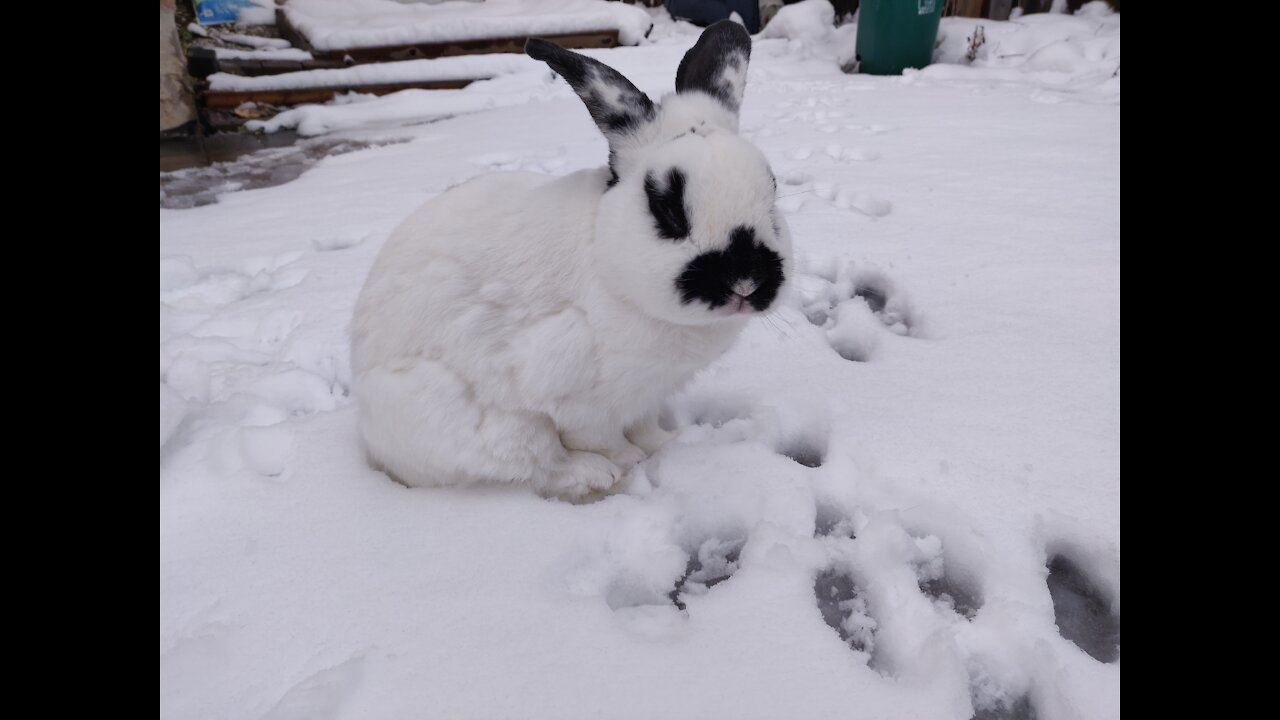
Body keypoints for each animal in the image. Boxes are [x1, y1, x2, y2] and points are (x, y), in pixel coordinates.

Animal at [350, 19, 788, 497]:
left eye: (773, 192)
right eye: (668, 209)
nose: (745, 282)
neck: (607, 261)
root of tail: (373, 438)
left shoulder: (646, 397)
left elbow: (645, 427)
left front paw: (667, 442)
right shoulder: (578, 397)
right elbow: (602, 438)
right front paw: (630, 460)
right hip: (490, 427)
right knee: (538, 463)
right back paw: (594, 473)